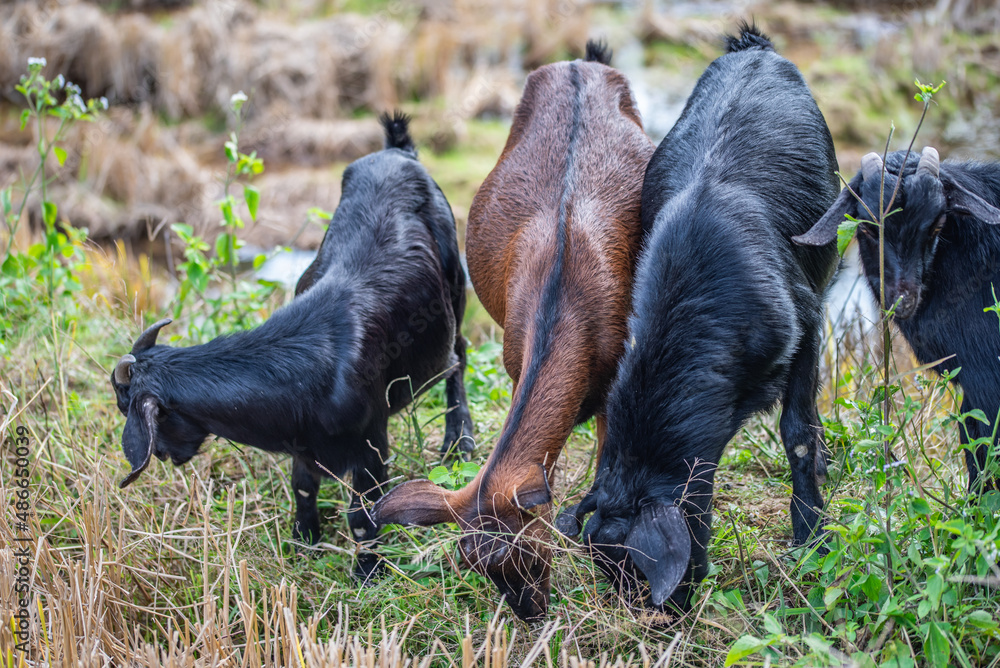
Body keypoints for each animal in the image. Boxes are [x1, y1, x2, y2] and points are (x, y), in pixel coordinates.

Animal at [109, 112, 472, 576]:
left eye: (126, 406)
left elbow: (363, 513)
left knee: (458, 356)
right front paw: (304, 539)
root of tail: (397, 150)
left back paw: (458, 443)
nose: (165, 456)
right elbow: (302, 487)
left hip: (456, 287)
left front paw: (368, 571)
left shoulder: (371, 443)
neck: (307, 369)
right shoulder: (303, 446)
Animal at [376, 43, 656, 620]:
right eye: (476, 567)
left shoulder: (618, 371)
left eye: (530, 552)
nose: (532, 613)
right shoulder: (510, 356)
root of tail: (580, 61)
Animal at [560, 24, 840, 612]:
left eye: (638, 570)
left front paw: (812, 539)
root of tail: (751, 48)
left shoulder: (805, 325)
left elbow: (798, 431)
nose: (668, 616)